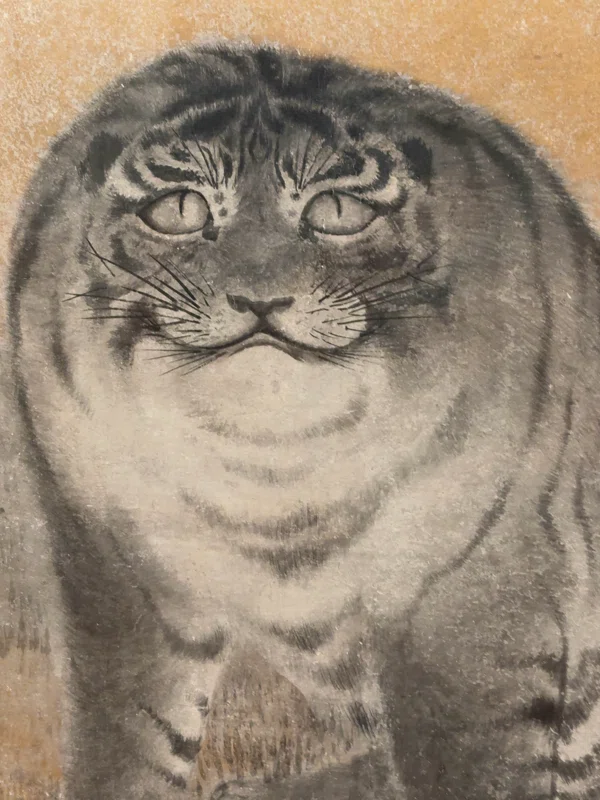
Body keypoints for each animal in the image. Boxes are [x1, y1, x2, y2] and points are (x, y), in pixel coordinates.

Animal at [7, 40, 600, 799]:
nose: (261, 300)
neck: (271, 459)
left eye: (337, 210)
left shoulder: (481, 600)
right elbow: (128, 738)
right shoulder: (117, 567)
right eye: (180, 208)